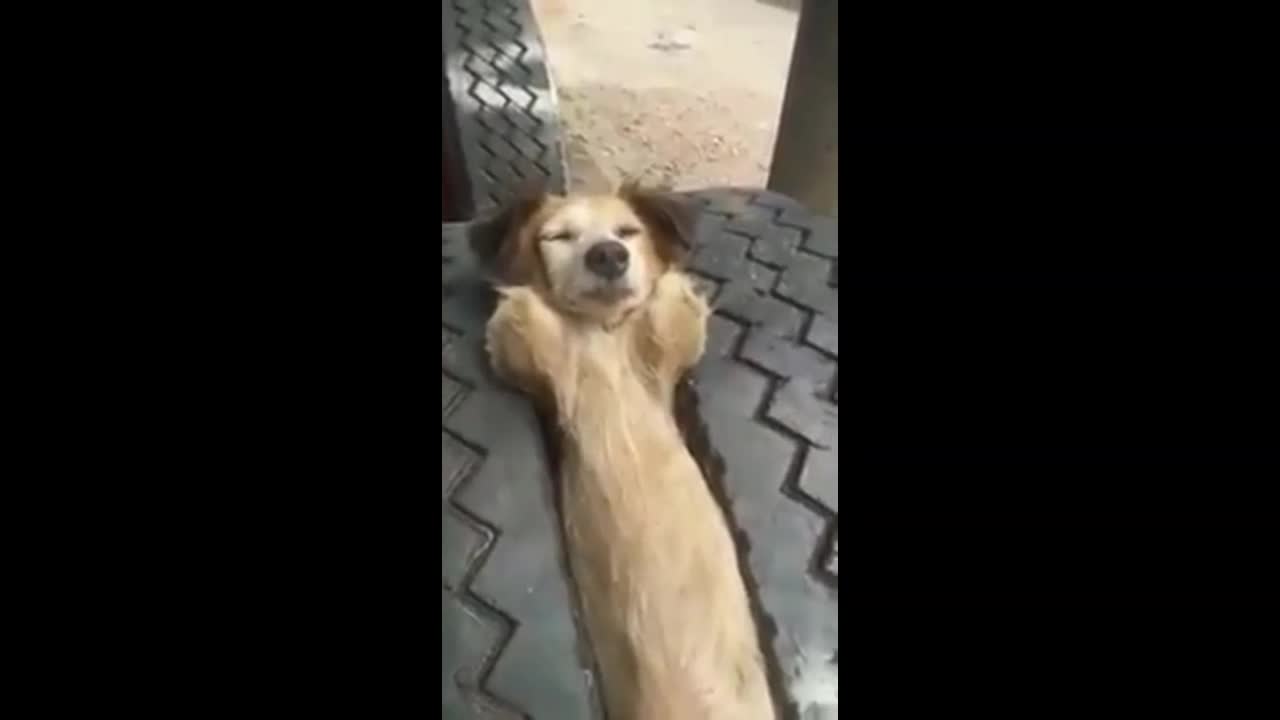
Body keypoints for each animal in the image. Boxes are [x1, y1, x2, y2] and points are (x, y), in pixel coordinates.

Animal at [471, 183, 768, 717]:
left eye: (628, 231)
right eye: (558, 236)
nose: (609, 254)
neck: (603, 340)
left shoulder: (664, 354)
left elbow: (671, 313)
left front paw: (669, 283)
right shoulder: (545, 371)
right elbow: (527, 328)